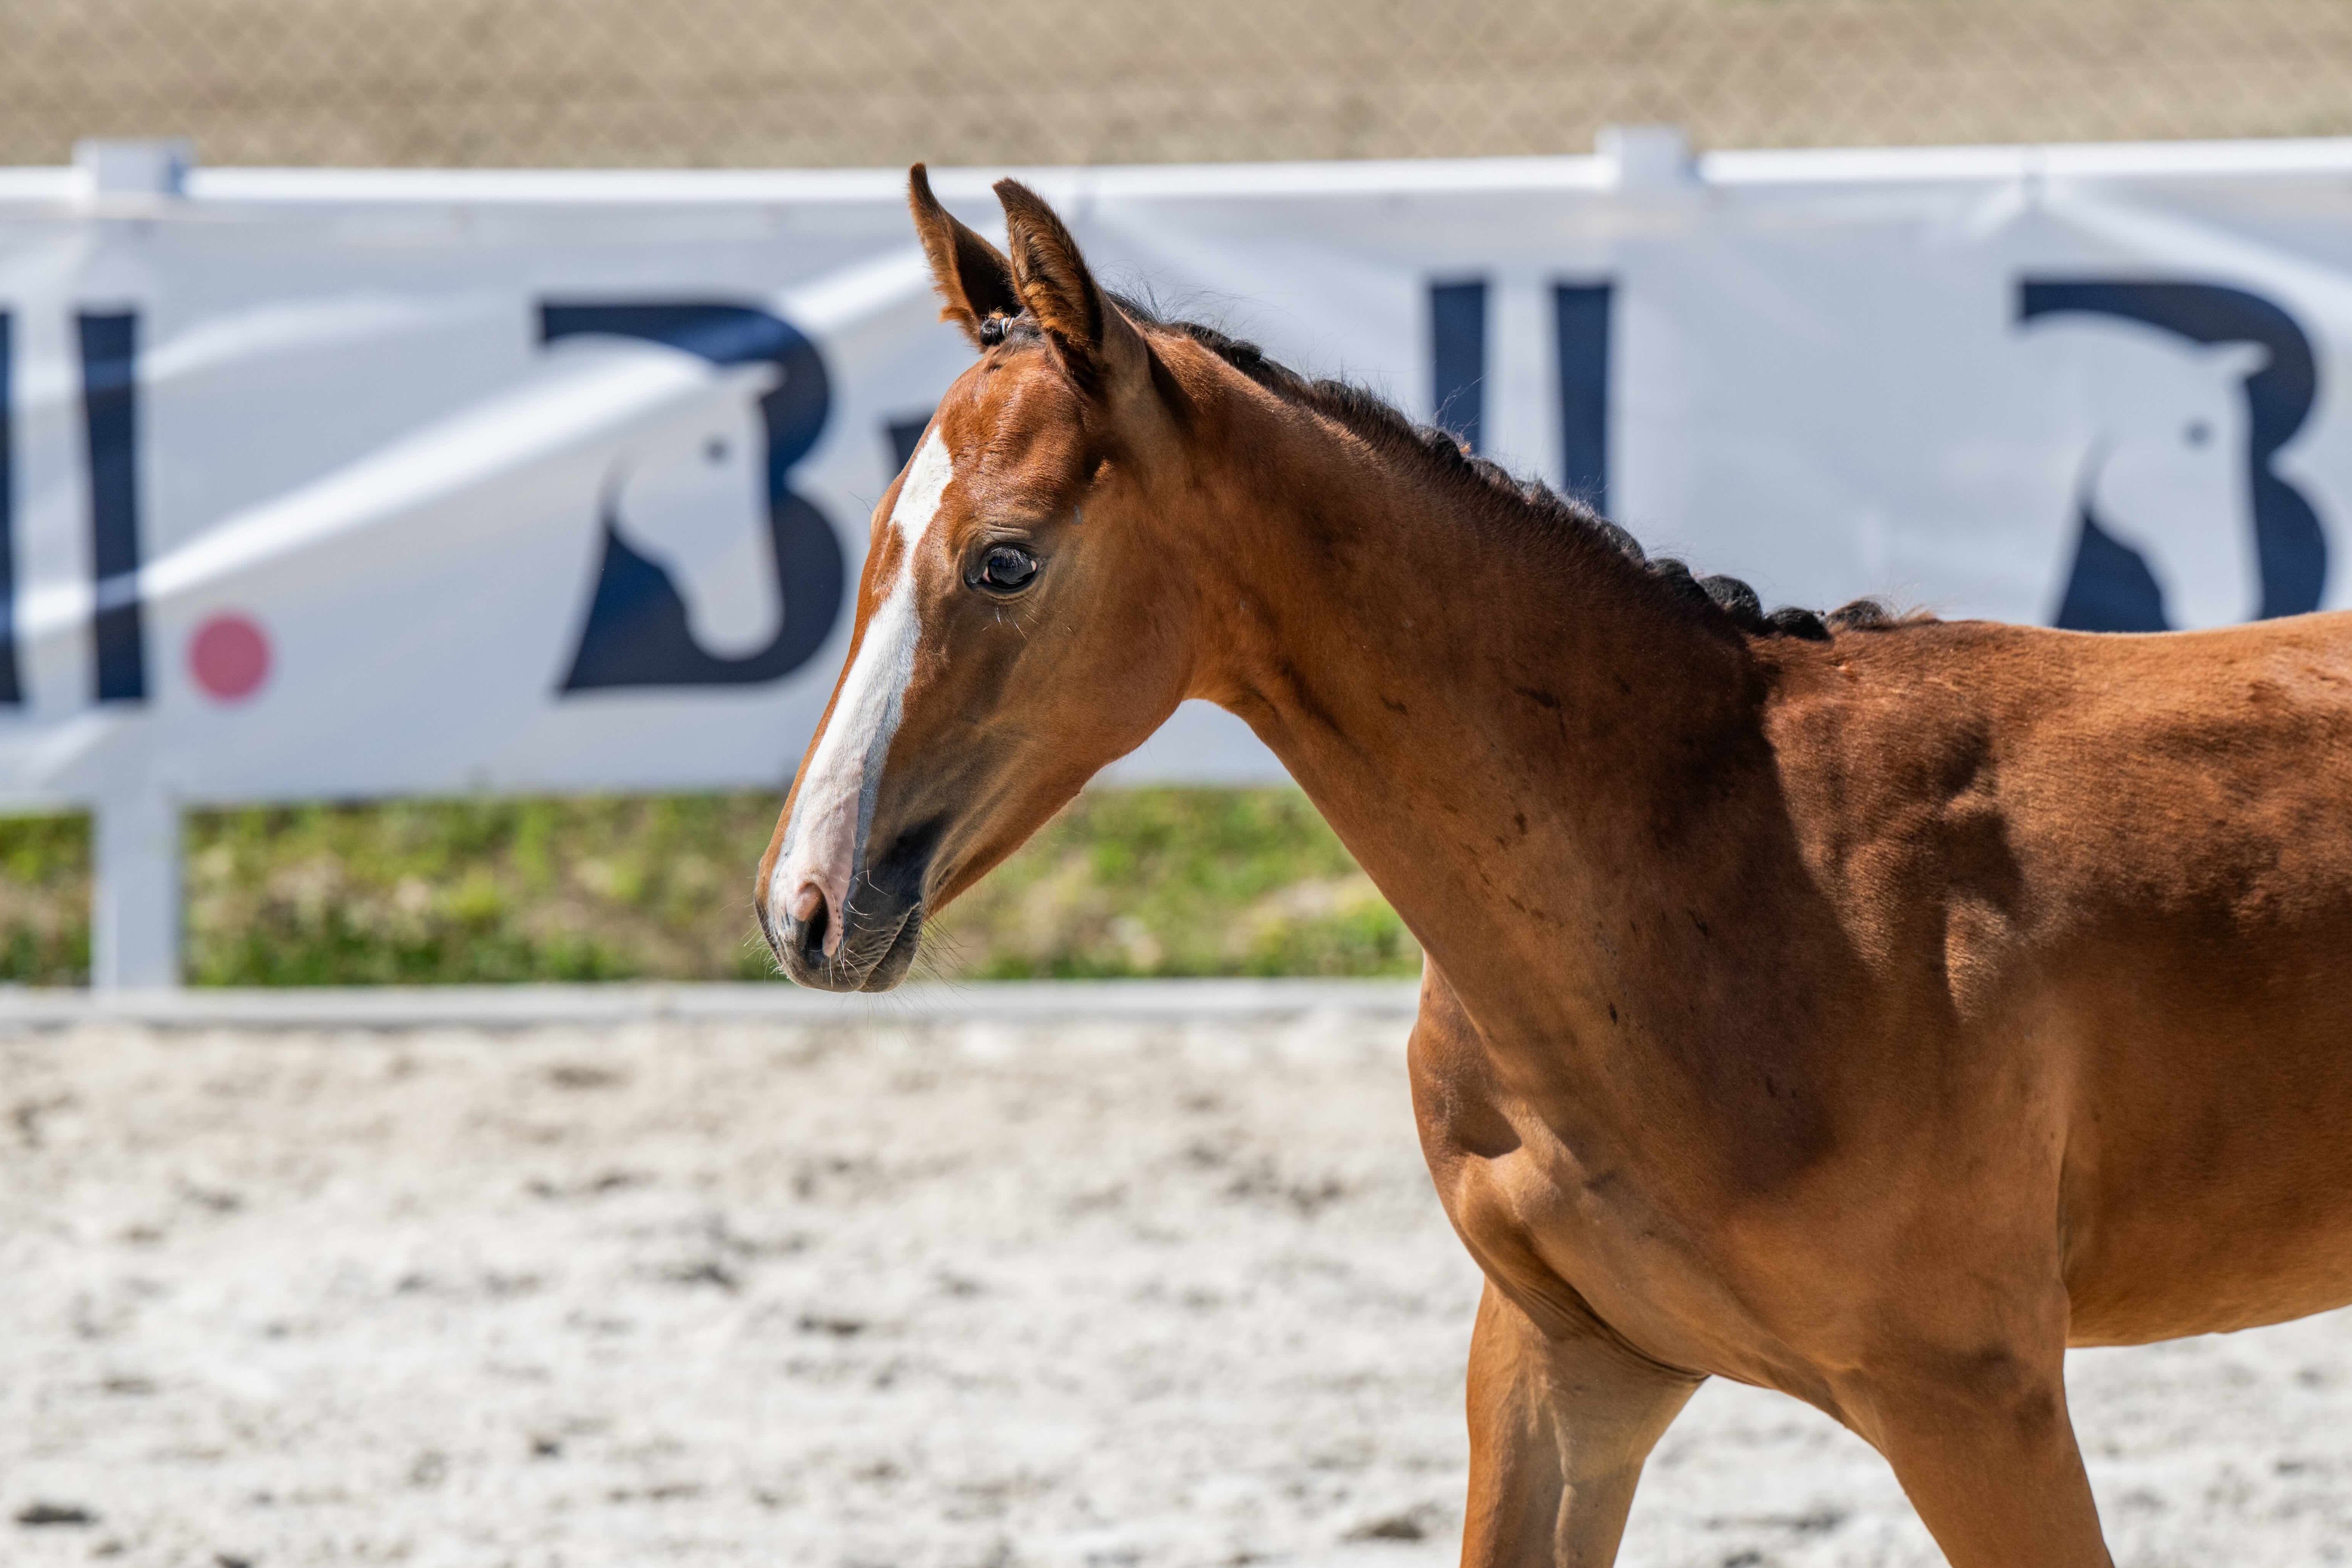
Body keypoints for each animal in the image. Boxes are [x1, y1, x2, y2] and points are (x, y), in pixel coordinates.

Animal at [754, 167, 2352, 1567]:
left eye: (1005, 560)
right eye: (869, 541)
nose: (803, 905)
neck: (1709, 871)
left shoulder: (1973, 1396)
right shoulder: (1562, 1361)